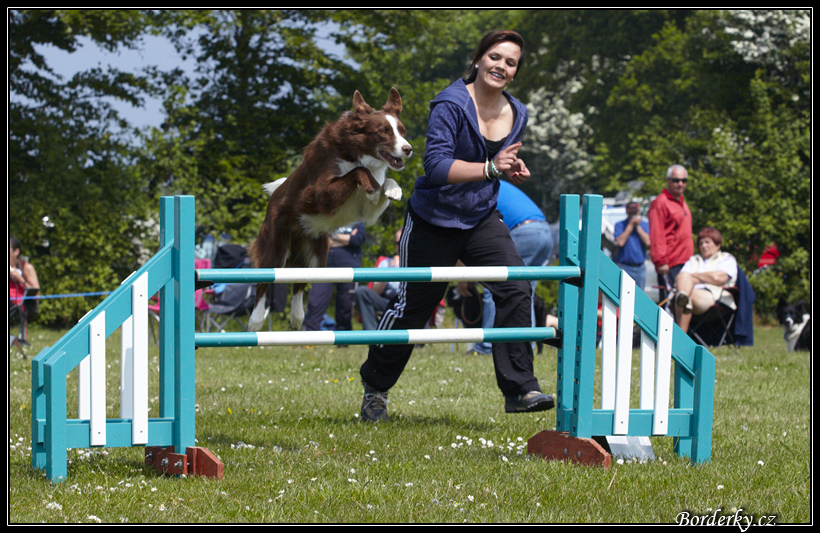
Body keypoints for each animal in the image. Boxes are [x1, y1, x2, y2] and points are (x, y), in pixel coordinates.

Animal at [245, 88, 408, 330]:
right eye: (383, 132)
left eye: (402, 131)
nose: (408, 149)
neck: (356, 152)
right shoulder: (316, 195)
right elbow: (357, 172)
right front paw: (370, 184)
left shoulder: (365, 210)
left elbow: (382, 185)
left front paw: (394, 190)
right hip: (276, 246)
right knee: (264, 281)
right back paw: (255, 321)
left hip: (317, 255)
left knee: (299, 282)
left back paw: (297, 316)